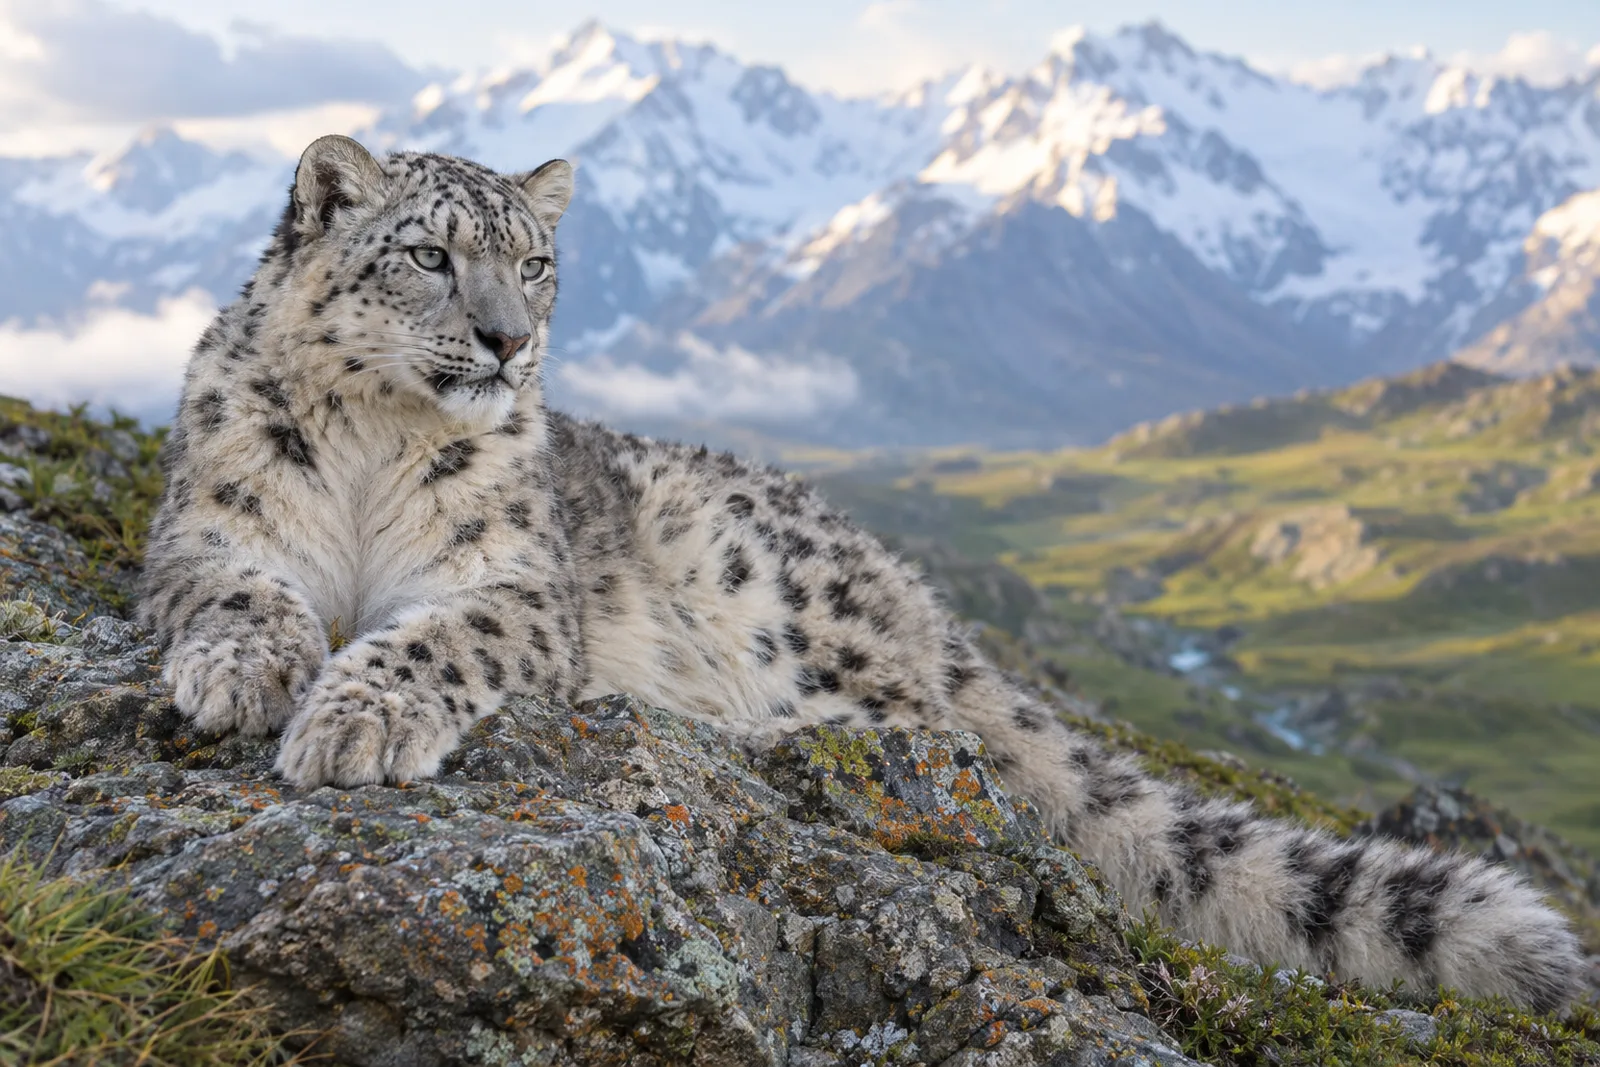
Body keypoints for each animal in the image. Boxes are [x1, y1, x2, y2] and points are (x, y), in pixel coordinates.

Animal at [139, 135, 1583, 1013]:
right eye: (429, 254)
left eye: (535, 262)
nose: (505, 340)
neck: (374, 446)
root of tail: (907, 588)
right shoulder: (205, 530)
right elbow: (234, 587)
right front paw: (245, 673)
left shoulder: (514, 586)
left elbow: (437, 636)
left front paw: (355, 719)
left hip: (783, 603)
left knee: (956, 740)